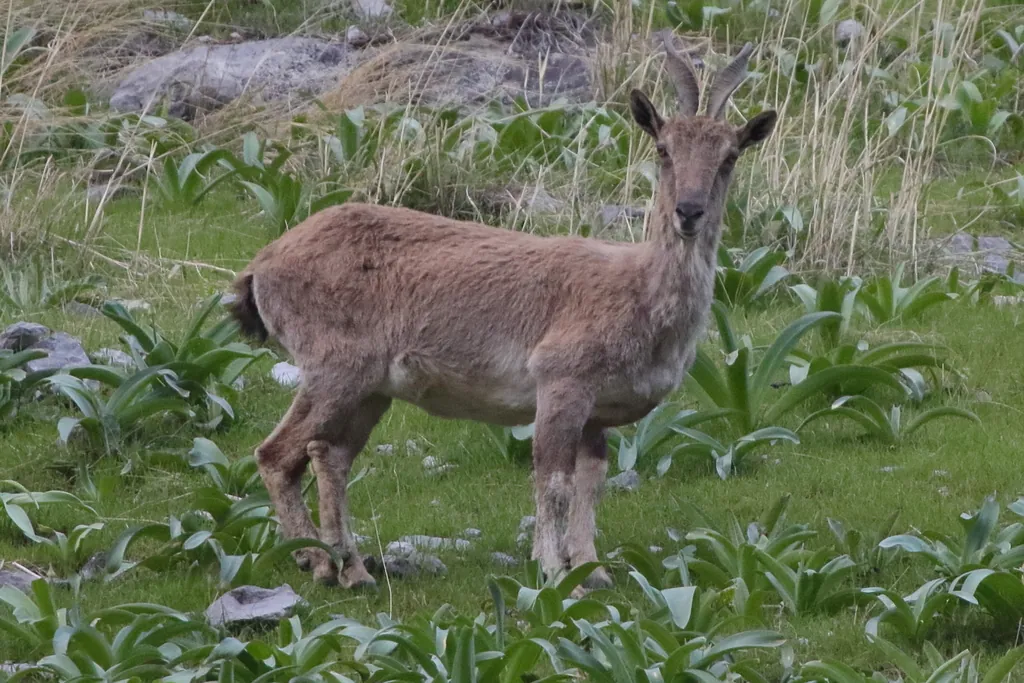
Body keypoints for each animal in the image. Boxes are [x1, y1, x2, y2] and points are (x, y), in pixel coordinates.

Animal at [229, 37, 777, 590]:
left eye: (730, 156)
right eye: (663, 149)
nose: (689, 211)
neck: (640, 293)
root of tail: (261, 266)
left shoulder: (597, 411)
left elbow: (591, 482)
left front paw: (592, 570)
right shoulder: (561, 381)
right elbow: (553, 480)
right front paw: (553, 571)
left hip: (371, 390)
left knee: (329, 455)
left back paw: (353, 569)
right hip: (334, 369)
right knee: (276, 454)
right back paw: (317, 561)